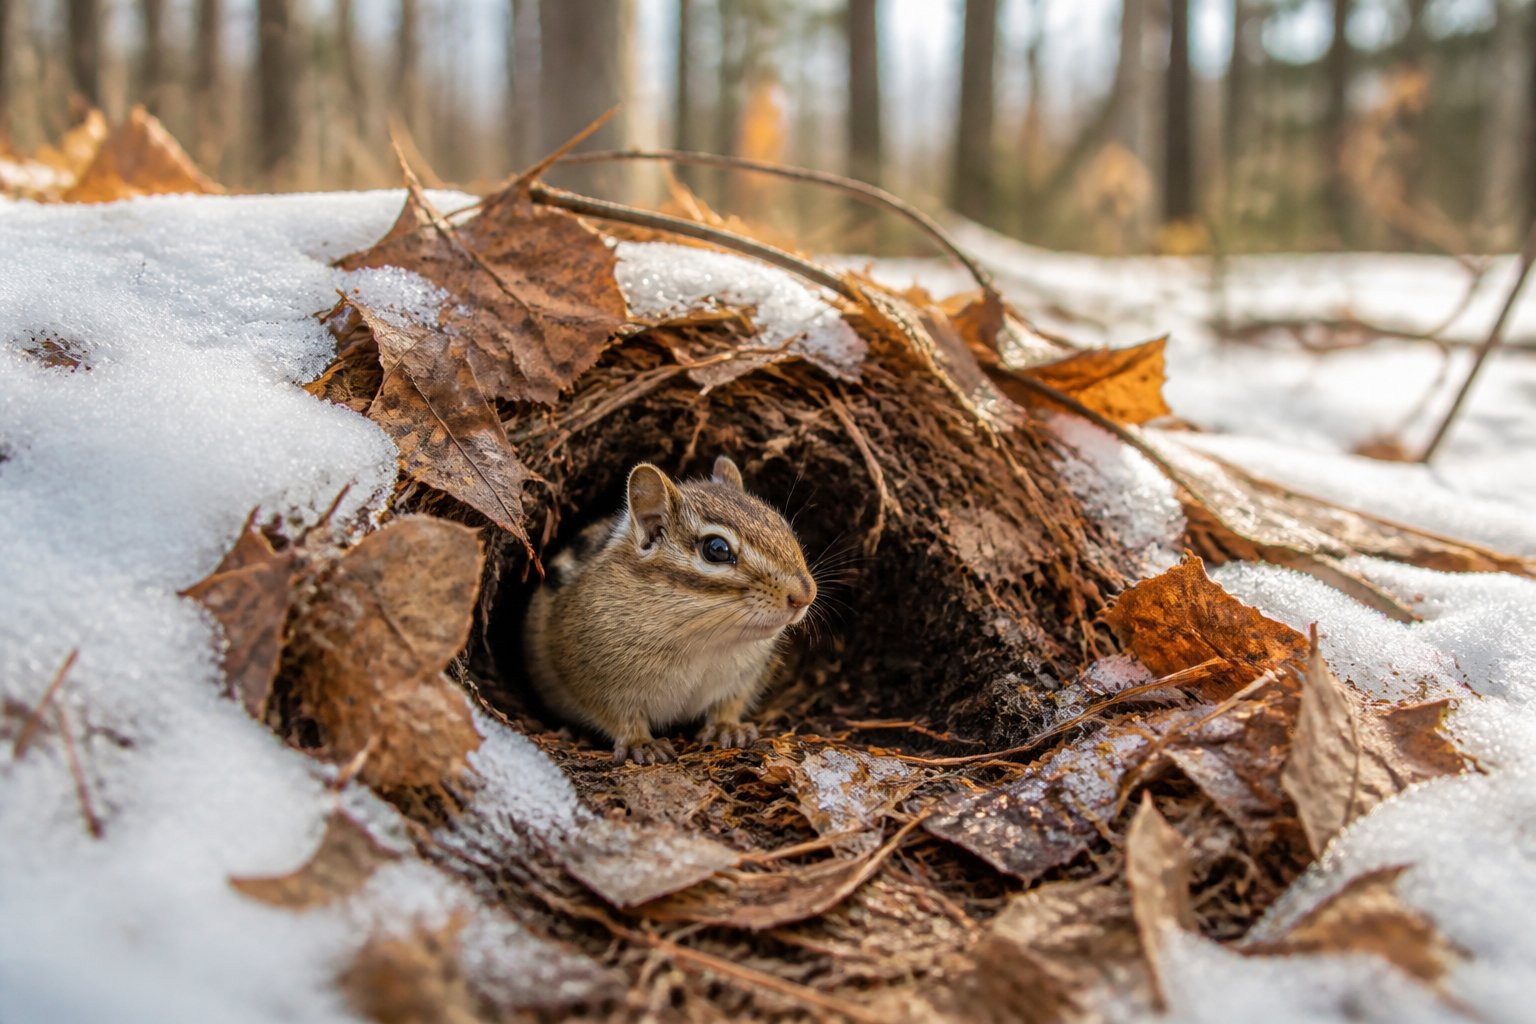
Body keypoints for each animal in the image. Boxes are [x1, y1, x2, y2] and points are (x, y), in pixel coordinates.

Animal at [523, 455, 816, 763]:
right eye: (716, 549)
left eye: (780, 523)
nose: (806, 594)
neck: (703, 640)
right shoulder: (589, 678)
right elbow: (619, 716)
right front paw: (640, 742)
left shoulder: (744, 678)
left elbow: (729, 703)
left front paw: (727, 726)